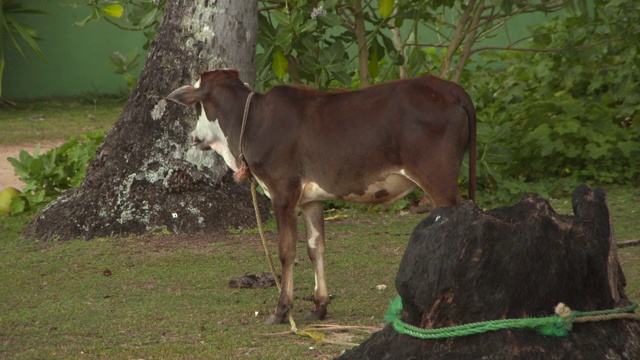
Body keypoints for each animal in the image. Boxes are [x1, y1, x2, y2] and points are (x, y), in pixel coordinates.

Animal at [166, 69, 476, 324]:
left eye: (196, 106)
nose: (193, 136)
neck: (253, 123)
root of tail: (450, 88)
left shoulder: (283, 193)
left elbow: (286, 251)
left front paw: (281, 310)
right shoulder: (311, 200)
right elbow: (315, 248)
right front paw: (319, 306)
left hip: (439, 181)